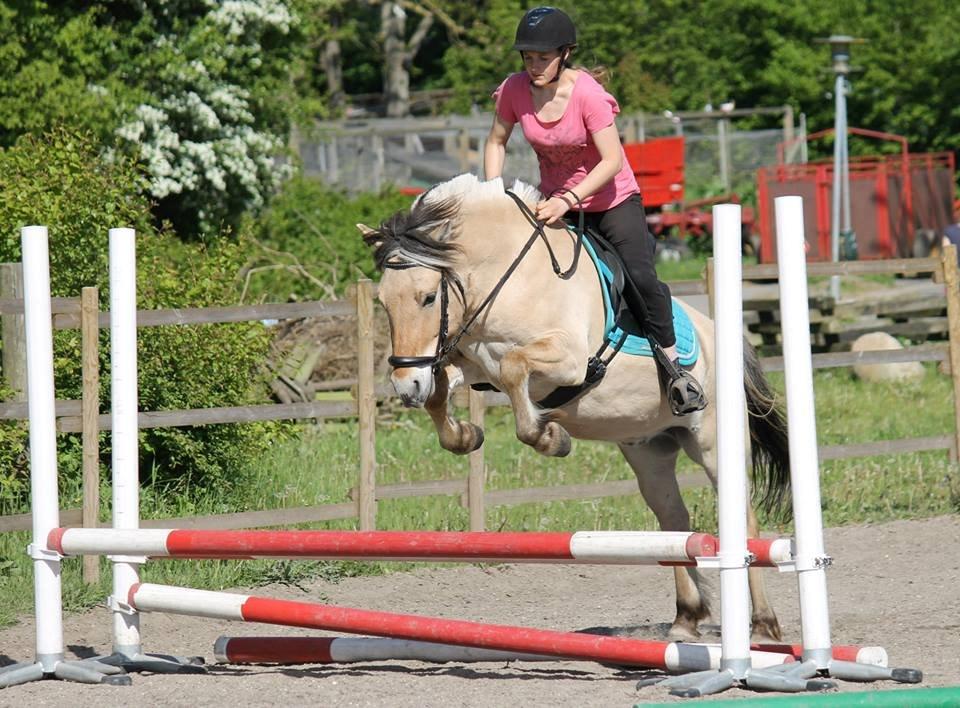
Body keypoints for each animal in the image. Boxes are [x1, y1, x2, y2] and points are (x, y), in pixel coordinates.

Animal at [356, 173, 792, 640]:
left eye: (427, 298)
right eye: (383, 302)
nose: (406, 387)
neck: (504, 277)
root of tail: (716, 330)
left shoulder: (567, 361)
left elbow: (514, 368)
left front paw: (551, 437)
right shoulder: (471, 365)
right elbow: (443, 392)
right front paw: (467, 434)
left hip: (711, 442)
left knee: (743, 515)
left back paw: (764, 625)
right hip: (649, 451)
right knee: (673, 516)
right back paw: (686, 619)